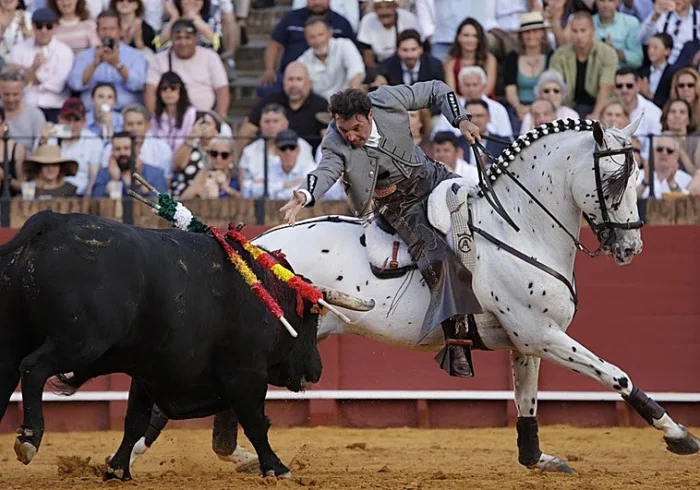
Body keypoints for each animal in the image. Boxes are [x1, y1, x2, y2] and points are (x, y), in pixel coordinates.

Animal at [131, 119, 699, 475]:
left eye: (638, 174)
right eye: (616, 177)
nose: (631, 246)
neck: (518, 227)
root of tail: (251, 246)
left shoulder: (528, 339)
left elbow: (527, 404)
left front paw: (539, 460)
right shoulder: (543, 333)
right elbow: (617, 375)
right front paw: (679, 436)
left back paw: (233, 457)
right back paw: (140, 456)